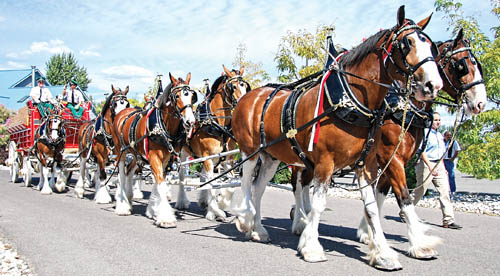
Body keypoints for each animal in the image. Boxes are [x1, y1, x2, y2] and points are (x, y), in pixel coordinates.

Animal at [111, 72, 195, 227]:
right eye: (177, 96)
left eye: (192, 96)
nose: (190, 121)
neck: (163, 126)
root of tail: (122, 113)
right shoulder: (154, 157)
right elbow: (160, 183)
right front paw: (165, 217)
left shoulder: (166, 159)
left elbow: (158, 182)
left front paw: (153, 210)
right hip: (121, 151)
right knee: (121, 174)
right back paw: (122, 205)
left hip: (137, 154)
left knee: (129, 172)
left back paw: (129, 199)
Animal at [177, 64, 250, 220]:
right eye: (233, 86)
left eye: (244, 85)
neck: (216, 124)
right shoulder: (208, 159)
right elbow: (212, 183)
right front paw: (214, 212)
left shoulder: (228, 159)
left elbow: (229, 183)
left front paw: (221, 203)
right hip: (183, 154)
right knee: (182, 176)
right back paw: (181, 202)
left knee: (203, 178)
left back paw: (204, 202)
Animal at [230, 6, 442, 270]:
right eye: (407, 43)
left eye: (432, 46)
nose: (433, 85)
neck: (349, 100)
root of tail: (248, 96)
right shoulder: (325, 162)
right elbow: (319, 203)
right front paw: (311, 247)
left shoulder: (366, 164)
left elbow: (371, 207)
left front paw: (383, 253)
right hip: (250, 152)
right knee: (246, 183)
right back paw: (245, 219)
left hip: (271, 157)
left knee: (258, 188)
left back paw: (258, 229)